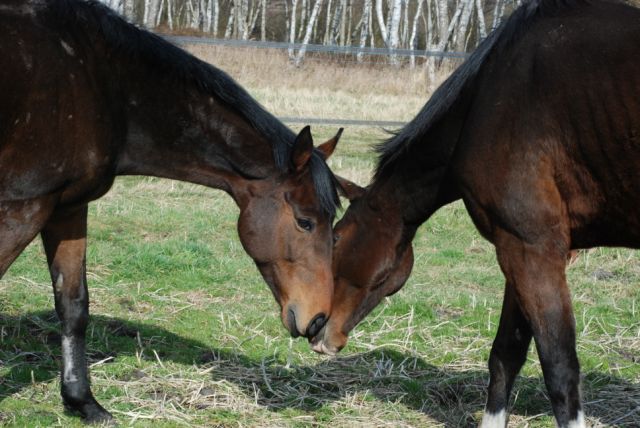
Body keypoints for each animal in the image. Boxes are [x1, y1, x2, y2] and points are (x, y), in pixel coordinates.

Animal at [1, 0, 344, 422]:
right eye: (304, 221)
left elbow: (73, 305)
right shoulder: (22, 208)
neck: (100, 83)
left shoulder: (67, 208)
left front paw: (83, 401)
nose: (318, 319)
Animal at [316, 0, 640, 428]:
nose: (317, 331)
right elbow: (505, 356)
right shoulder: (519, 250)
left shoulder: (532, 249)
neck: (489, 101)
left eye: (336, 238)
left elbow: (560, 370)